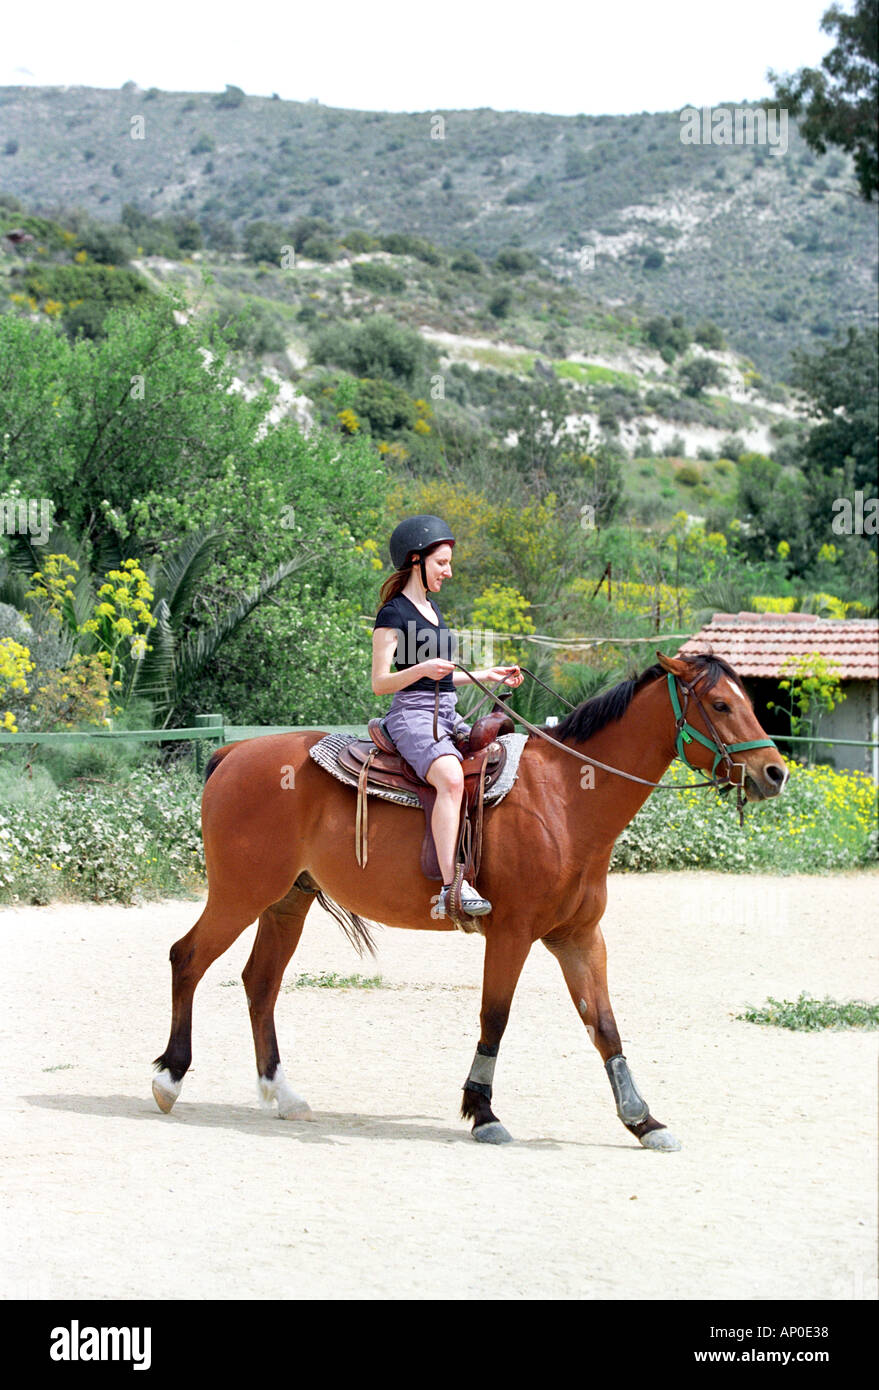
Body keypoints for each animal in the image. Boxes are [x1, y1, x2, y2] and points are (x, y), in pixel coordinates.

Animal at [152, 651, 788, 1149]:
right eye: (722, 705)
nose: (775, 771)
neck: (565, 800)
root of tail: (231, 755)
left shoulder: (579, 939)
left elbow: (604, 1024)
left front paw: (643, 1120)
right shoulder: (512, 934)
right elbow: (495, 1017)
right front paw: (482, 1111)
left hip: (288, 902)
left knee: (260, 981)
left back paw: (281, 1094)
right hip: (240, 895)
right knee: (187, 958)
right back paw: (169, 1078)